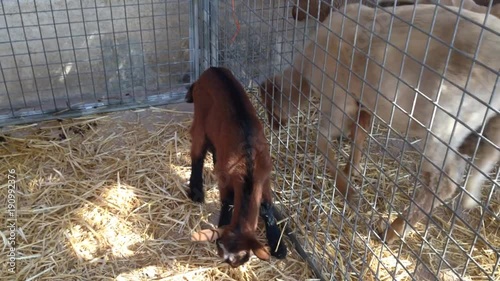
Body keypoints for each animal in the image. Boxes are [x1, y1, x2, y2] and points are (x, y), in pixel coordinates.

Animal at [187, 65, 290, 266]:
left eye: (242, 256)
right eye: (223, 252)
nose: (233, 264)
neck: (248, 165)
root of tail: (211, 69)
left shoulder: (264, 176)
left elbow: (266, 206)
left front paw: (278, 245)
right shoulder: (225, 176)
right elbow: (227, 200)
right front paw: (222, 222)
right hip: (200, 117)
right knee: (197, 152)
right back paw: (196, 190)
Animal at [262, 3, 500, 242]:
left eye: (268, 104)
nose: (274, 127)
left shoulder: (339, 99)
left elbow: (322, 140)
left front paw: (348, 190)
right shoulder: (363, 104)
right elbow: (359, 133)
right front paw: (351, 170)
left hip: (446, 121)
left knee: (443, 183)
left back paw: (393, 231)